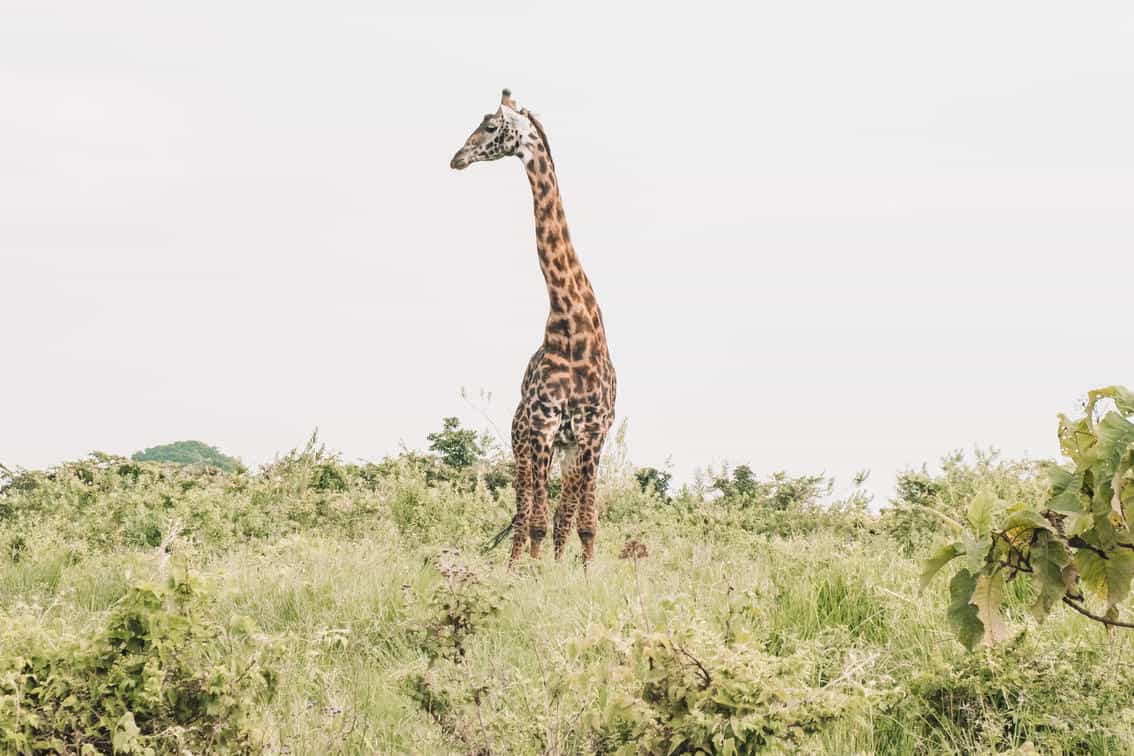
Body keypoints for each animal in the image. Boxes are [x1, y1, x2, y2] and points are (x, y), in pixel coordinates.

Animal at [450, 89, 617, 565]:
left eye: (489, 126)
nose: (457, 158)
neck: (571, 324)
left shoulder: (591, 431)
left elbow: (582, 523)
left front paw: (577, 574)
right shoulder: (542, 425)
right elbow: (539, 522)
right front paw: (533, 577)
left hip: (569, 447)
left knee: (559, 514)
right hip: (521, 441)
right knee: (524, 514)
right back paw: (514, 566)